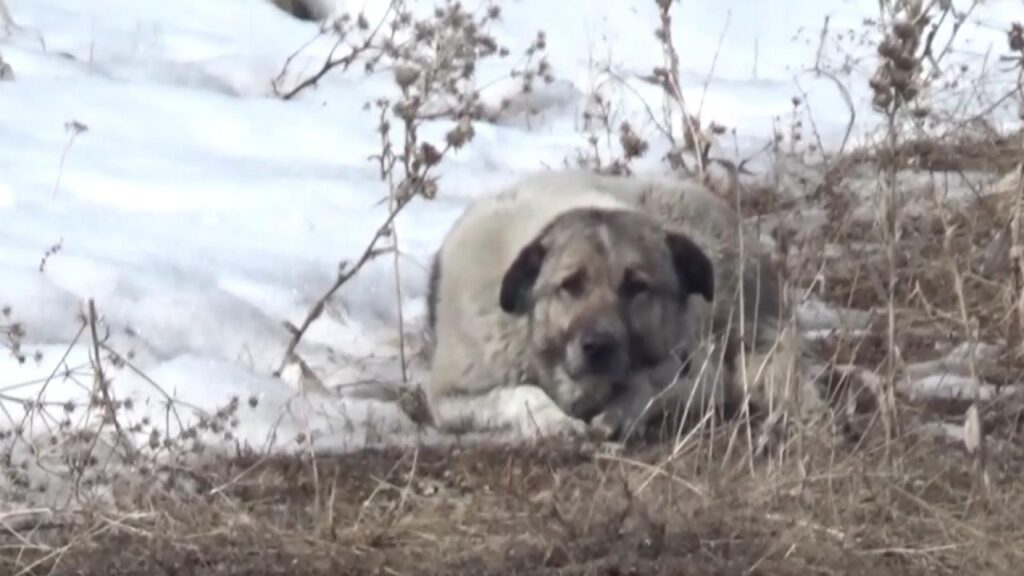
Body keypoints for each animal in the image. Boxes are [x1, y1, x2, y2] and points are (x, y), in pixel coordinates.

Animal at [423, 168, 790, 436]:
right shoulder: (451, 397)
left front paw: (620, 412)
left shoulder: (686, 367)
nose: (598, 346)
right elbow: (523, 393)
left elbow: (651, 386)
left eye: (636, 286)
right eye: (570, 285)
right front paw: (555, 421)